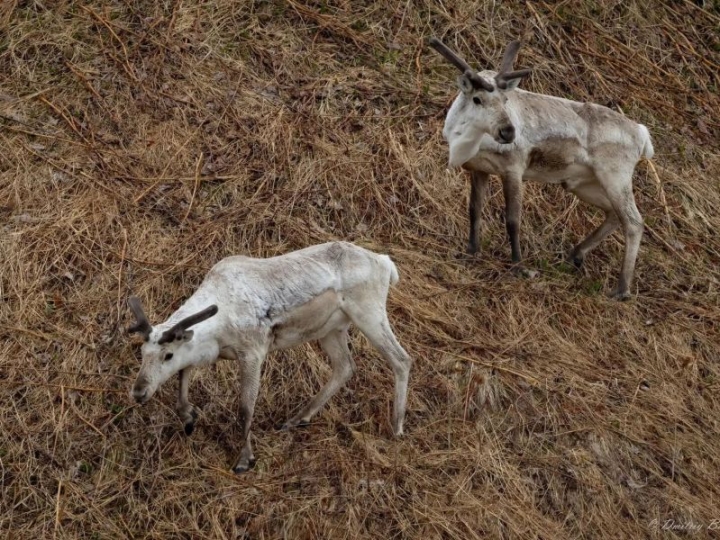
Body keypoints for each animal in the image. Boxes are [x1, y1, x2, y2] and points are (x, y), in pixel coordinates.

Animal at [127, 241, 412, 473]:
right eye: (142, 352)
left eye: (168, 355)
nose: (139, 392)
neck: (219, 327)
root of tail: (385, 263)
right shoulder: (207, 352)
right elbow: (183, 378)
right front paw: (189, 418)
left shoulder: (253, 352)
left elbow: (245, 409)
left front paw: (244, 460)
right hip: (331, 328)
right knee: (345, 366)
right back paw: (296, 419)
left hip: (369, 312)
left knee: (401, 359)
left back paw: (397, 427)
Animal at [428, 37, 654, 300]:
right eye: (477, 99)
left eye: (505, 100)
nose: (508, 132)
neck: (469, 140)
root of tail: (642, 134)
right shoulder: (479, 169)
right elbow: (474, 210)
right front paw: (470, 252)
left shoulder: (513, 169)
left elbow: (513, 219)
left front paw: (519, 266)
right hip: (584, 184)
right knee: (614, 214)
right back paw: (575, 255)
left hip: (616, 175)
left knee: (634, 221)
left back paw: (621, 289)